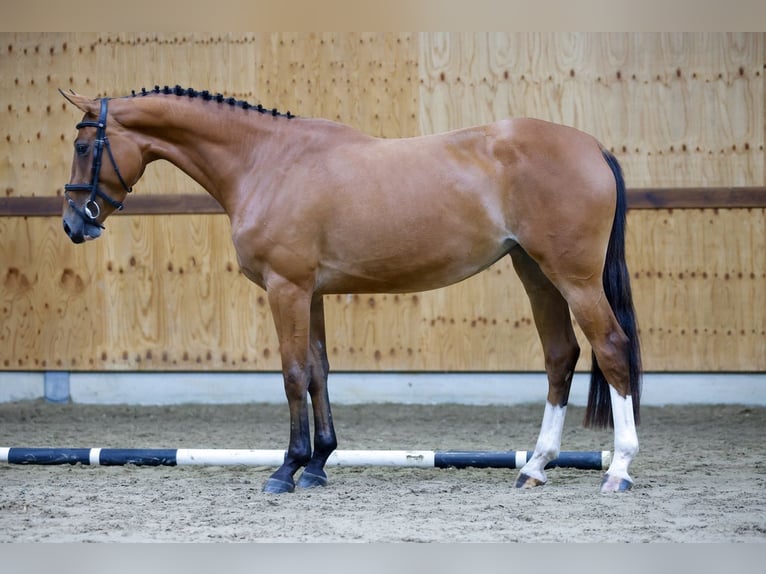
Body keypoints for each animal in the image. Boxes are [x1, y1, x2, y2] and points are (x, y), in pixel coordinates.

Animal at [60, 85, 640, 496]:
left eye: (84, 145)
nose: (74, 224)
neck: (266, 161)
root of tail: (593, 146)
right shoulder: (311, 293)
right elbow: (318, 370)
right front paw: (318, 464)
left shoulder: (286, 289)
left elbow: (293, 374)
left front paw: (287, 468)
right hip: (535, 273)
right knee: (560, 356)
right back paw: (535, 466)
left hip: (573, 278)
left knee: (611, 348)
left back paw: (620, 468)